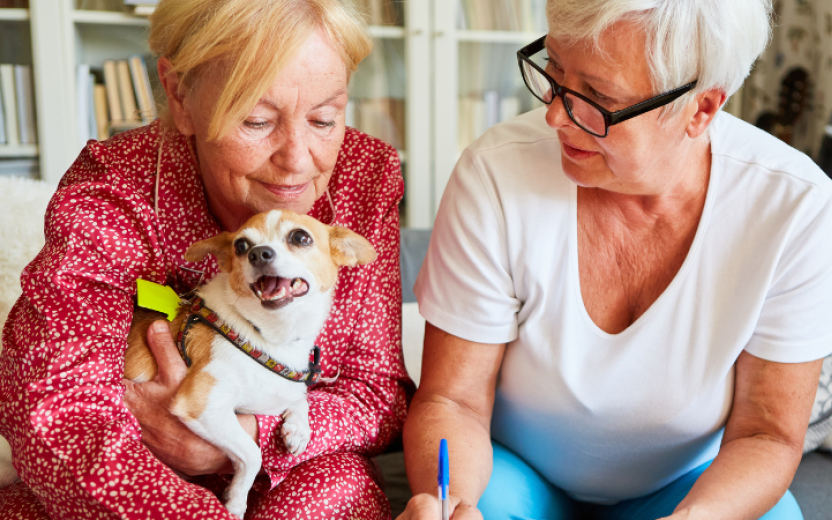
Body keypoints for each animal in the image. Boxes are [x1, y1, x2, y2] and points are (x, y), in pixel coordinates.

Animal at [121, 209, 376, 516]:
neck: (267, 336)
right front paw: (235, 500)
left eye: (300, 237)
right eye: (241, 246)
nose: (258, 253)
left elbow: (299, 396)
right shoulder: (201, 405)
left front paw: (299, 427)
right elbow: (253, 455)